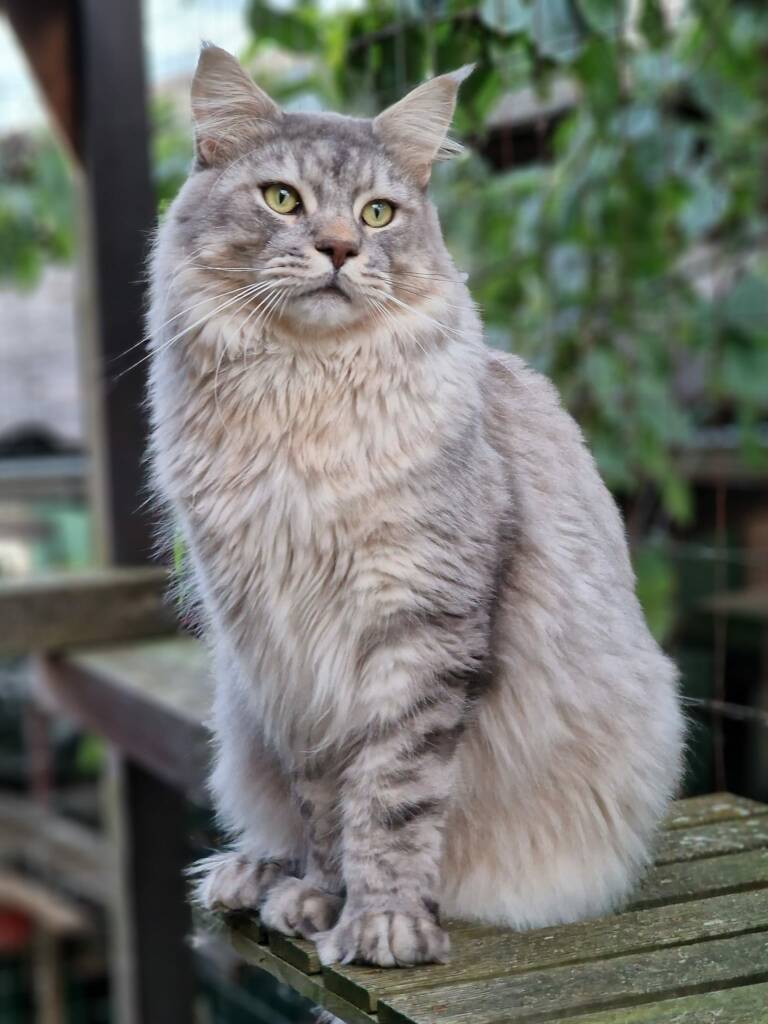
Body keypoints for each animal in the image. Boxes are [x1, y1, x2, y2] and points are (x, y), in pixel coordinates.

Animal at [145, 41, 684, 966]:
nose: (337, 248)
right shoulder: (279, 649)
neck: (303, 405)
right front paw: (322, 899)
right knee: (275, 824)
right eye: (282, 199)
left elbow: (392, 797)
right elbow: (326, 803)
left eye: (378, 213)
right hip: (242, 714)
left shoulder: (420, 624)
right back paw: (255, 875)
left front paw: (384, 923)